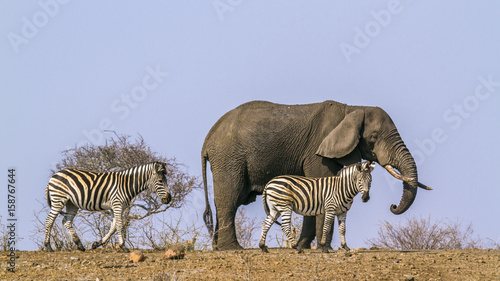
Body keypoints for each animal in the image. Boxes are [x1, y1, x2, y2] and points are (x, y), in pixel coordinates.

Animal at [44, 161, 172, 250]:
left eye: (166, 181)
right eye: (161, 181)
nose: (169, 198)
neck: (126, 185)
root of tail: (54, 175)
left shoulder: (115, 208)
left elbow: (113, 227)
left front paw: (97, 244)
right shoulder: (117, 205)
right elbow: (119, 225)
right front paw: (123, 246)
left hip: (72, 203)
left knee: (66, 221)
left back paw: (80, 246)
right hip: (59, 198)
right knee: (49, 220)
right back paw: (48, 246)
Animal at [201, 100, 432, 249]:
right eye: (374, 137)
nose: (392, 206)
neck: (353, 109)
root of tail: (208, 139)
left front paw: (304, 247)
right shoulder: (318, 151)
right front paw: (324, 250)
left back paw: (217, 247)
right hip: (229, 157)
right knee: (229, 198)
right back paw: (232, 249)